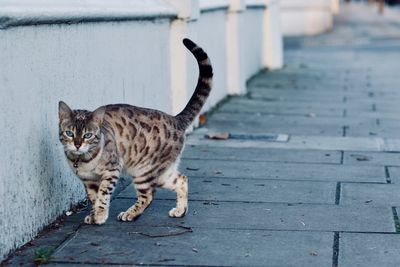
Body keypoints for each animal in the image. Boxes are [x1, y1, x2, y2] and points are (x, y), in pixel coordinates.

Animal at [58, 38, 212, 226]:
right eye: (70, 133)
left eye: (88, 135)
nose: (77, 145)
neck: (82, 161)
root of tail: (176, 118)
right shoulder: (89, 181)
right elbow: (94, 198)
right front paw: (93, 215)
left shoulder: (111, 171)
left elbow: (102, 196)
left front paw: (100, 216)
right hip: (162, 172)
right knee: (182, 179)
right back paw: (180, 211)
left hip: (143, 170)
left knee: (149, 195)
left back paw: (130, 214)